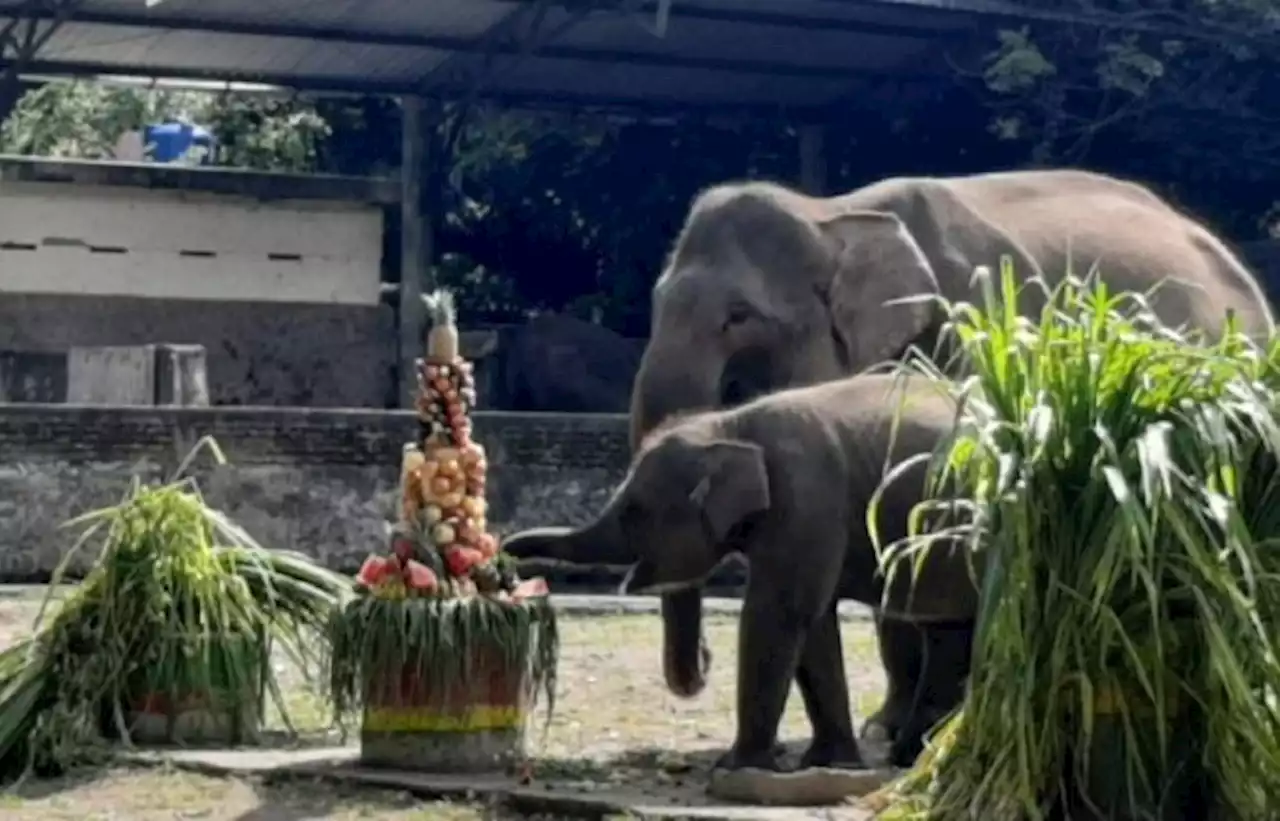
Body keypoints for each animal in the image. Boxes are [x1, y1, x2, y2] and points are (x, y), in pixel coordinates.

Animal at [499, 373, 967, 773]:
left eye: (634, 511)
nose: (504, 560)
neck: (730, 425)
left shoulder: (807, 497)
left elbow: (780, 611)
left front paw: (737, 766)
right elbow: (814, 622)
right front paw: (828, 764)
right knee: (948, 630)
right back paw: (910, 757)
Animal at [627, 166, 1269, 758]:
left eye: (739, 316)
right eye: (654, 304)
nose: (703, 663)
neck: (832, 215)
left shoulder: (967, 332)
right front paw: (885, 730)